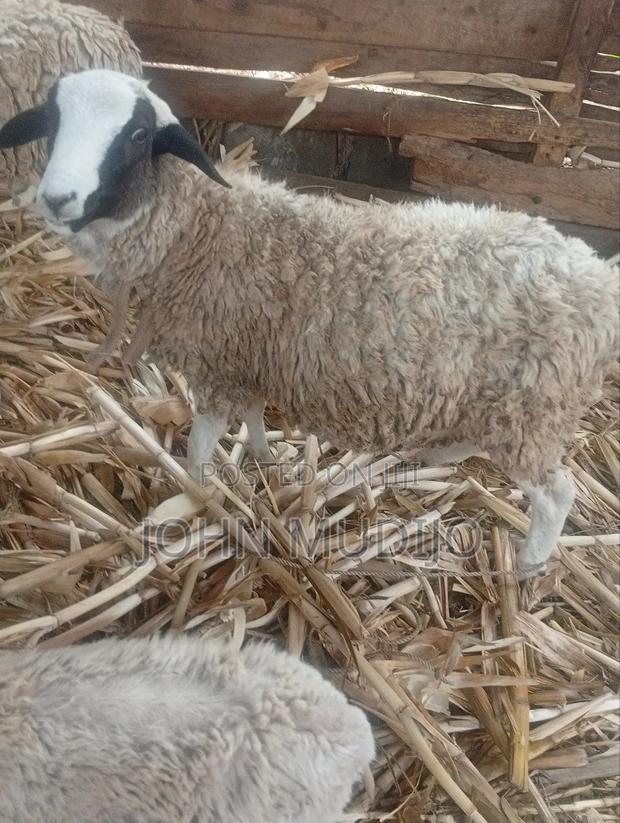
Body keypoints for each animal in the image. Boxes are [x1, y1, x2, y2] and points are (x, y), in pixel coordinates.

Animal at [0, 69, 618, 580]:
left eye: (135, 136)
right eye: (53, 120)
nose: (57, 198)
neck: (201, 228)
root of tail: (595, 277)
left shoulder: (220, 358)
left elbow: (200, 446)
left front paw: (198, 496)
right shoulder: (248, 355)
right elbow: (252, 415)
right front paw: (261, 457)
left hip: (534, 409)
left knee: (556, 495)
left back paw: (529, 566)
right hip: (507, 404)